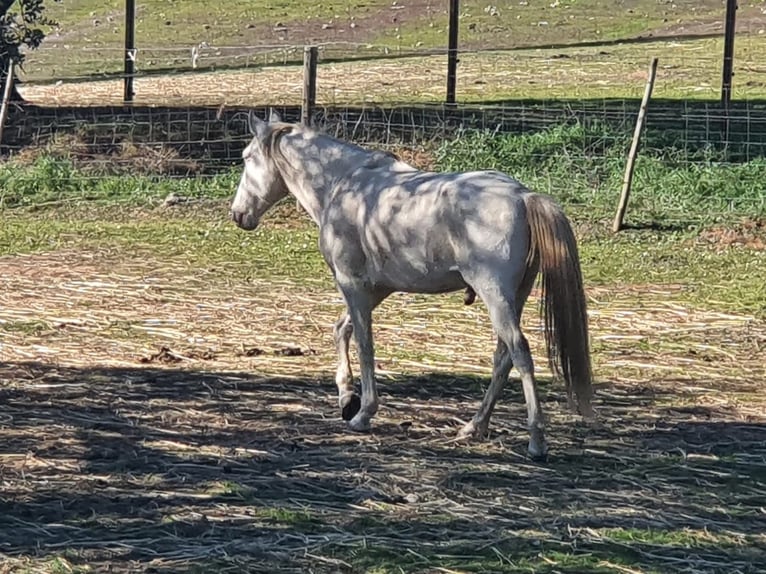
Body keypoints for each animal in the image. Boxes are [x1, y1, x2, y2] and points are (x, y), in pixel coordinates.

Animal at [231, 111, 596, 464]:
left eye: (247, 157)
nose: (238, 214)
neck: (344, 185)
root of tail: (522, 196)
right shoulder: (376, 289)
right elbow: (341, 329)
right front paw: (347, 396)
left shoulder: (352, 285)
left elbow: (364, 345)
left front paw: (362, 412)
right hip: (514, 298)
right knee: (502, 358)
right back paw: (475, 426)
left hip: (496, 297)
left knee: (519, 354)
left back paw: (536, 441)